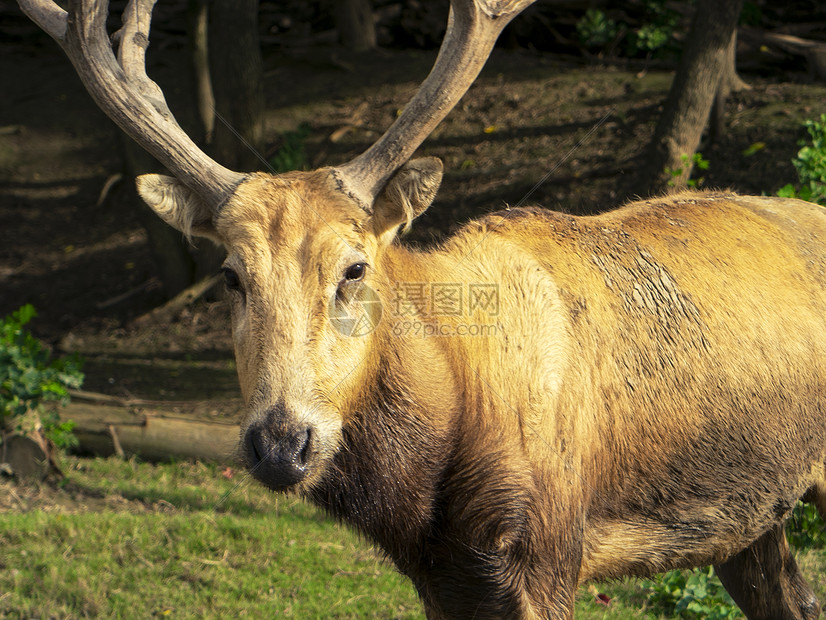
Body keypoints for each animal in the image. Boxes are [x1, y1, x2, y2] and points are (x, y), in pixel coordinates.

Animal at [17, 0, 824, 616]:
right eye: (229, 277)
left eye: (354, 268)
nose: (281, 443)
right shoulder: (445, 579)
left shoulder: (549, 552)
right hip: (752, 521)